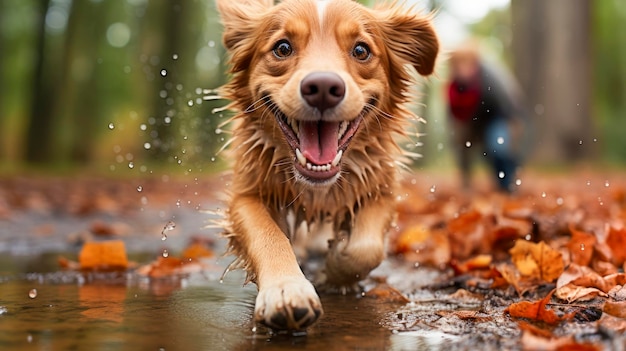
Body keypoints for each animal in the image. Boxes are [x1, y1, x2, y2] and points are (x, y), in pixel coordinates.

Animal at [217, 0, 436, 332]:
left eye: (361, 50)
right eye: (282, 47)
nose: (322, 86)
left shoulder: (380, 189)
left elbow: (366, 249)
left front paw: (333, 269)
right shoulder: (247, 195)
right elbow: (268, 237)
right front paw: (286, 290)